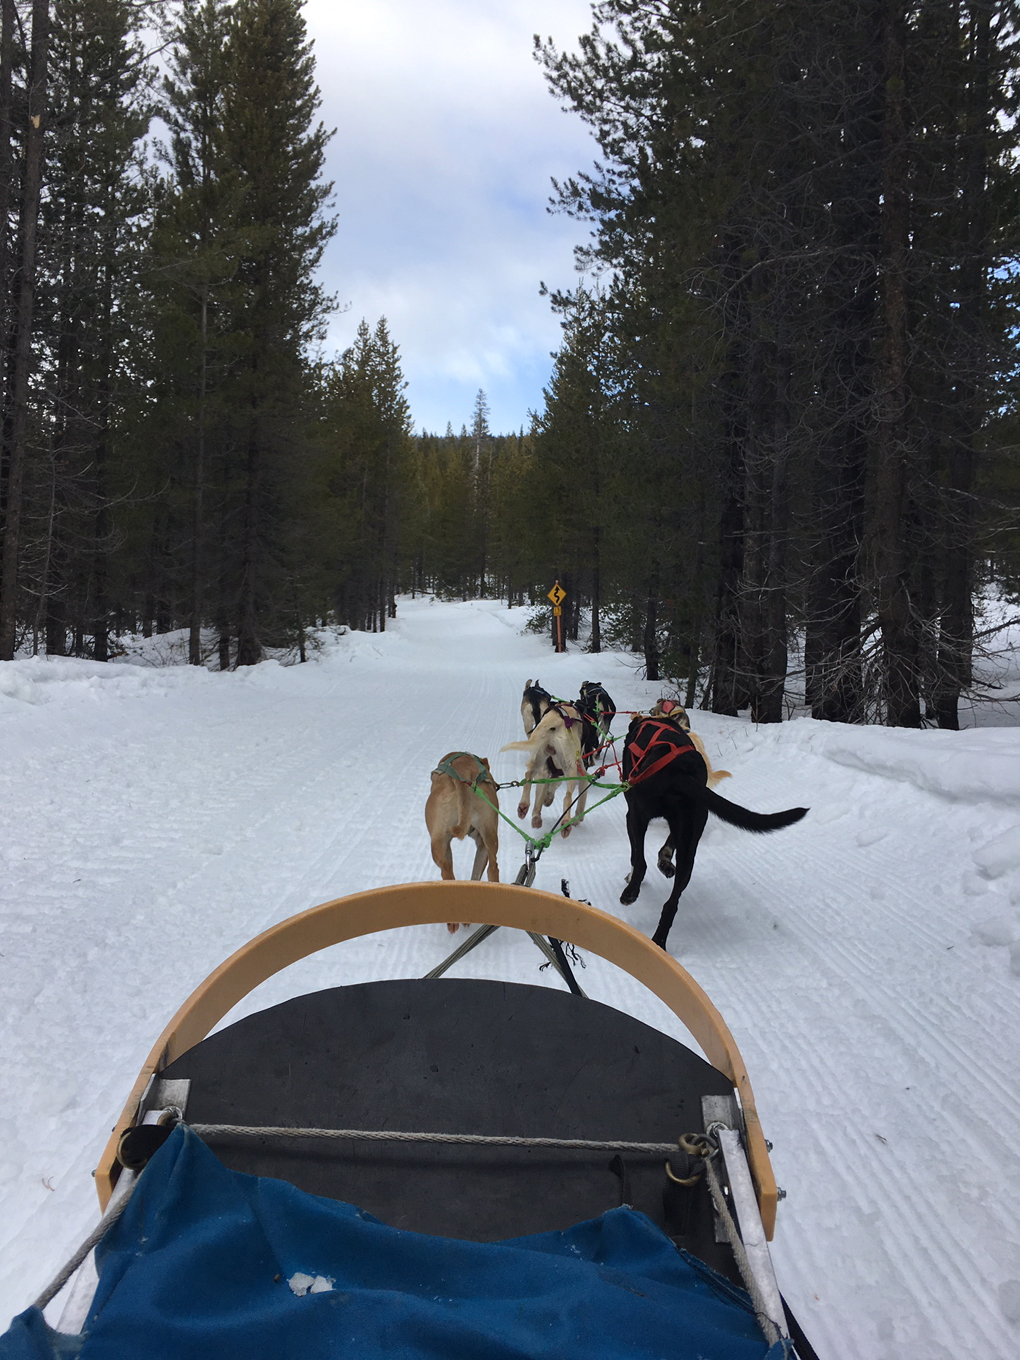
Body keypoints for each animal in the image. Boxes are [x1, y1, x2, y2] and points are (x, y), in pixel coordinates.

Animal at [620, 718, 810, 952]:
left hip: (638, 817)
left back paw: (631, 894)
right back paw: (659, 942)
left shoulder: (633, 814)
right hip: (691, 842)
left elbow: (638, 857)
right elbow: (667, 846)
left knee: (641, 864)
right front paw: (664, 862)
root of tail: (680, 772)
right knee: (671, 903)